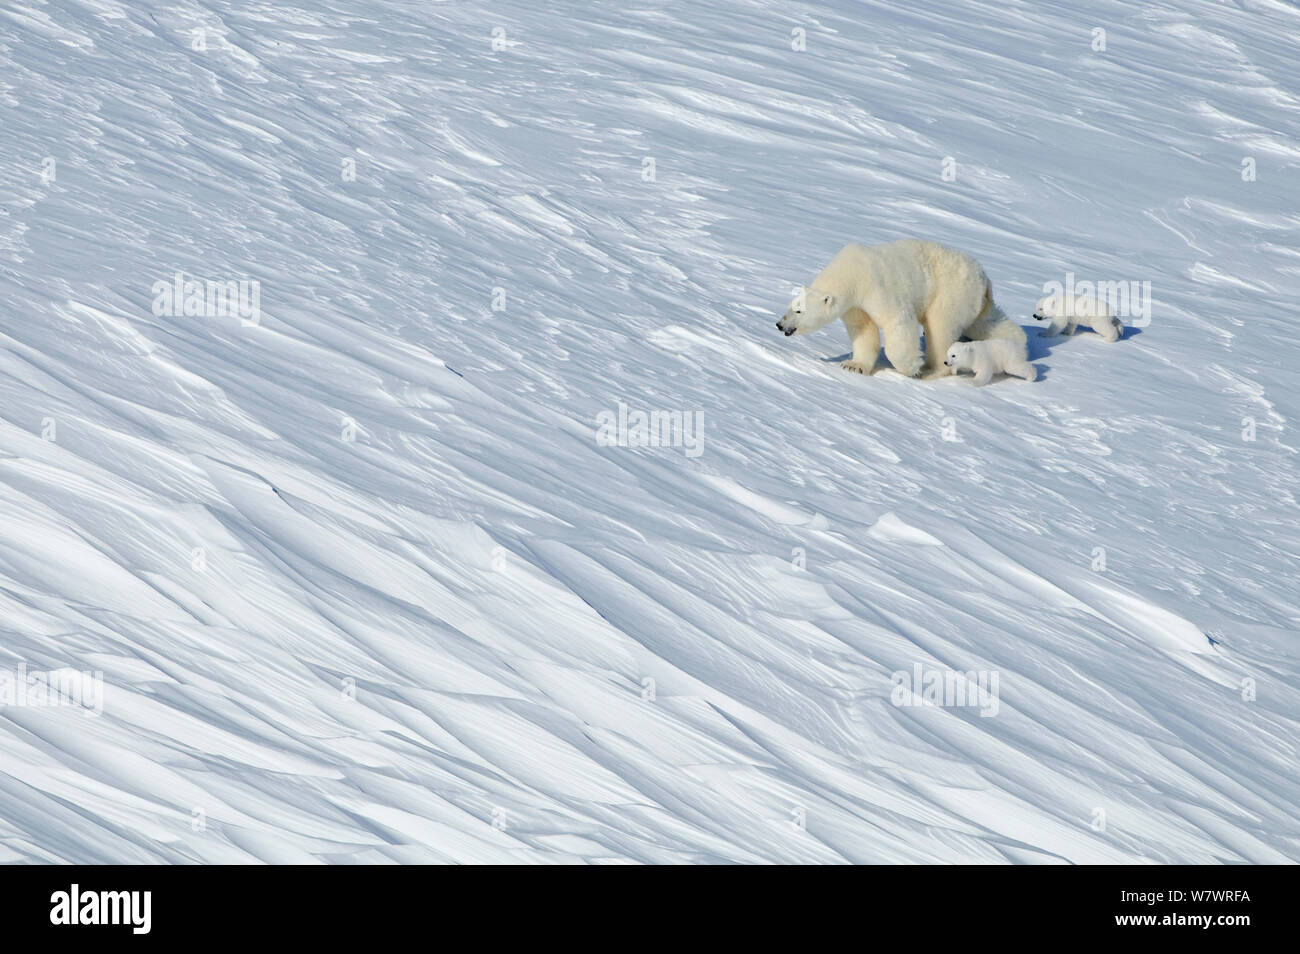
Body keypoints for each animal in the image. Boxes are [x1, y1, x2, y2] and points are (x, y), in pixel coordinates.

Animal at [769, 239, 1024, 376]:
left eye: (799, 311)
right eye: (790, 306)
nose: (780, 324)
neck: (852, 273)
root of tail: (984, 279)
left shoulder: (876, 286)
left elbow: (898, 321)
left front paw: (911, 368)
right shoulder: (855, 305)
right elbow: (863, 331)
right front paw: (853, 365)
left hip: (951, 291)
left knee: (940, 326)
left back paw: (933, 367)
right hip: (972, 300)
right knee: (987, 322)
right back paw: (1018, 342)